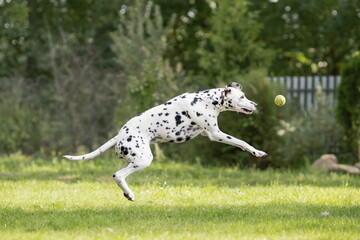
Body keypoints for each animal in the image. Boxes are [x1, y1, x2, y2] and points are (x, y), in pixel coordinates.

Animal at [64, 82, 268, 201]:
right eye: (242, 97)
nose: (256, 104)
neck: (205, 100)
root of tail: (120, 135)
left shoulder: (205, 133)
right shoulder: (215, 134)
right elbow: (241, 141)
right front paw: (256, 151)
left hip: (135, 159)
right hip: (143, 160)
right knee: (118, 175)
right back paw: (129, 194)